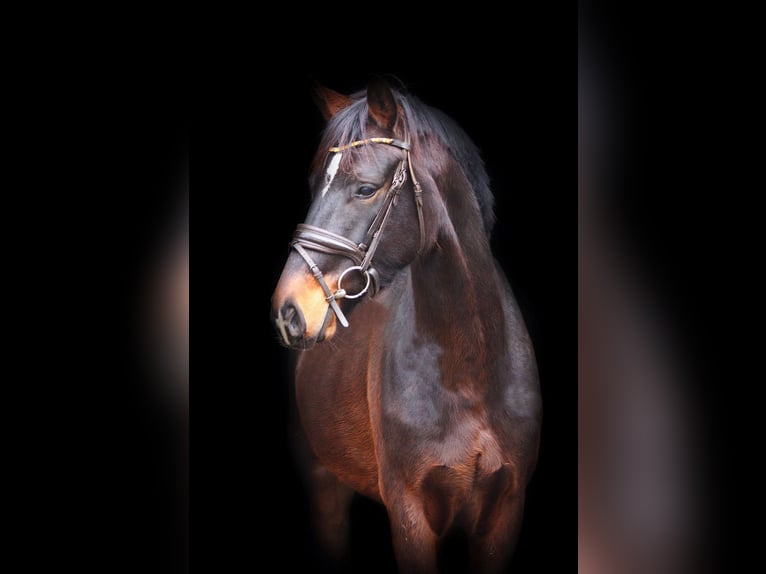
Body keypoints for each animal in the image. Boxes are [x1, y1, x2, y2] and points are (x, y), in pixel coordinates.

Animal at [271, 77, 542, 574]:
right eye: (316, 185)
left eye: (365, 189)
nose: (289, 310)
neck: (469, 369)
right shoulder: (409, 510)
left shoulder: (505, 509)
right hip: (323, 484)